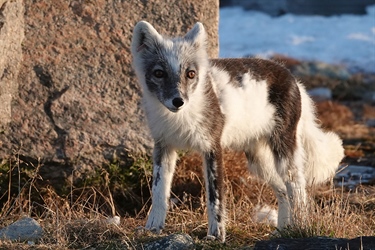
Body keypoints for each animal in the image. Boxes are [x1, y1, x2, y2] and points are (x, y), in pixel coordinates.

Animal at [131, 21, 346, 242]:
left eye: (190, 74)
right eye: (159, 73)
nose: (178, 101)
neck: (179, 118)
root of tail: (294, 79)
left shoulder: (212, 148)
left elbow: (215, 198)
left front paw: (216, 236)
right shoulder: (163, 146)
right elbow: (158, 192)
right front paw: (152, 228)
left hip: (284, 154)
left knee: (297, 190)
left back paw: (300, 228)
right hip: (259, 162)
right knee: (283, 192)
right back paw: (283, 231)